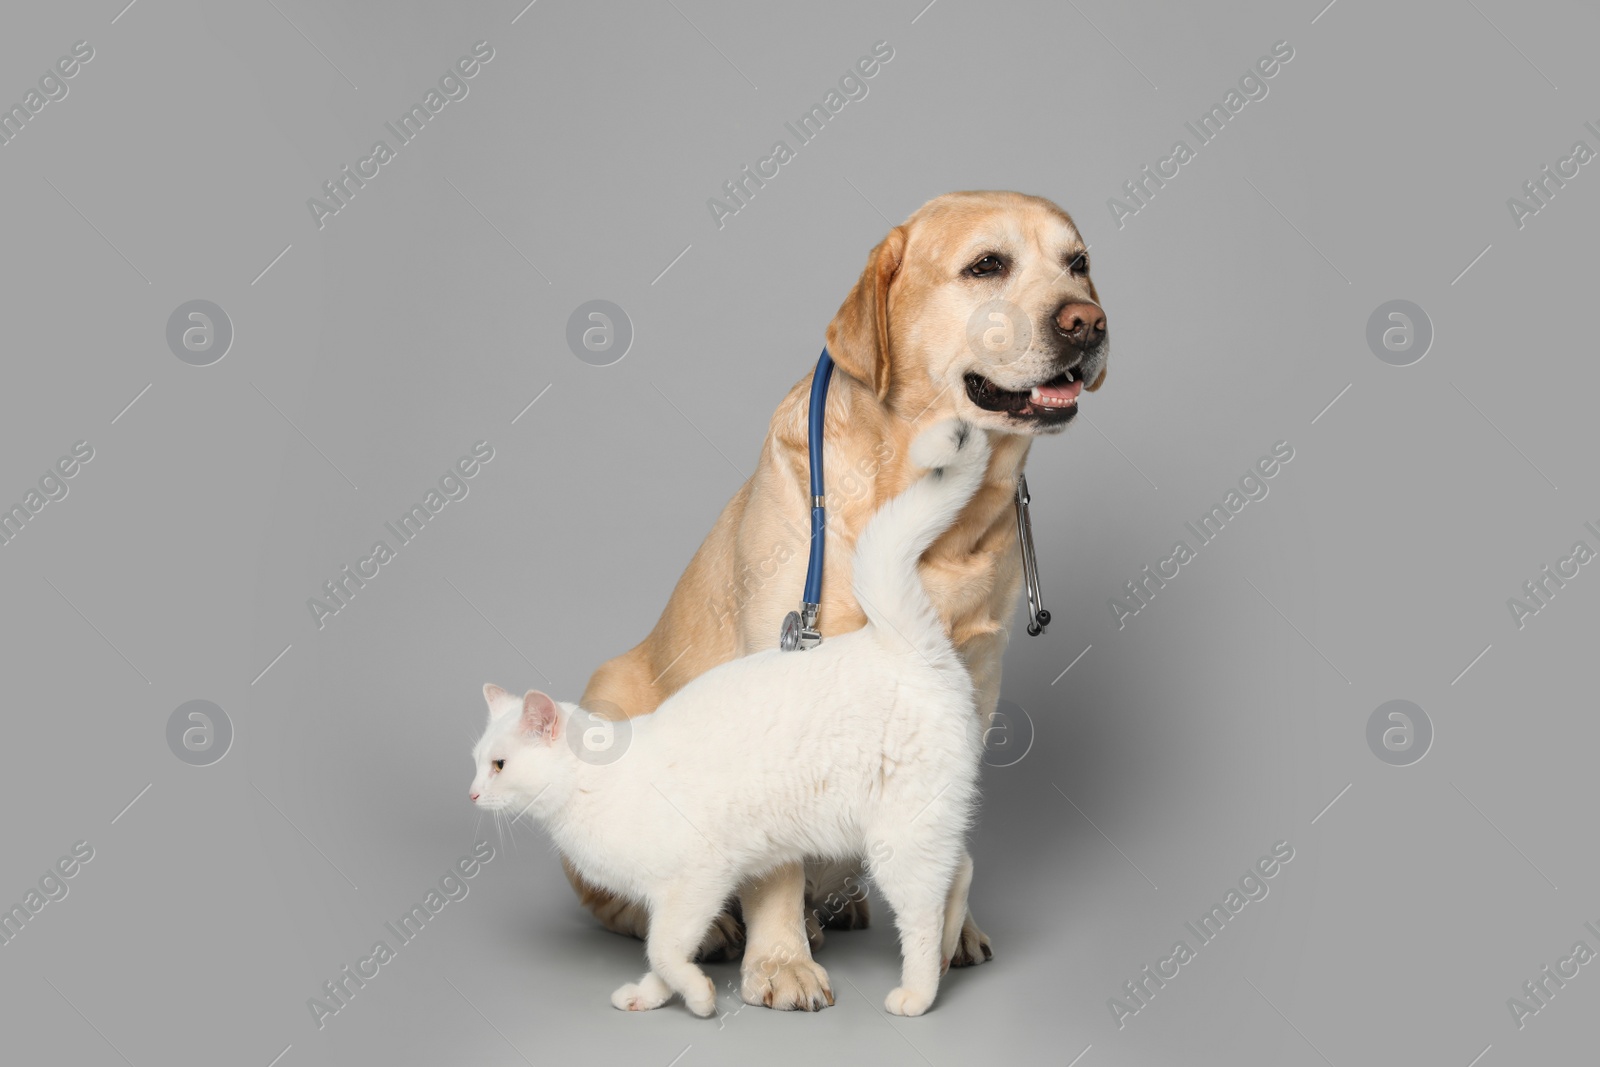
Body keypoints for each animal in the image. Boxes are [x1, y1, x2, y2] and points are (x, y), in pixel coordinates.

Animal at [467, 415, 985, 1017]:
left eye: (499, 765)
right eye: (476, 762)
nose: (473, 793)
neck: (589, 793)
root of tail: (899, 641)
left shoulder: (698, 879)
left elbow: (666, 949)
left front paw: (697, 997)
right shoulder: (671, 897)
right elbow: (661, 951)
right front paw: (651, 995)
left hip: (897, 839)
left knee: (922, 912)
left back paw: (918, 993)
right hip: (918, 823)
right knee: (960, 870)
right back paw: (950, 952)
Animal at [569, 191, 1107, 1011]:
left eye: (1077, 263)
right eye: (987, 265)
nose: (1088, 321)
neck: (935, 522)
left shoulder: (975, 687)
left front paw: (952, 928)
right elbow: (773, 866)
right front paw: (780, 963)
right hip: (608, 700)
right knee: (617, 897)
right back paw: (719, 928)